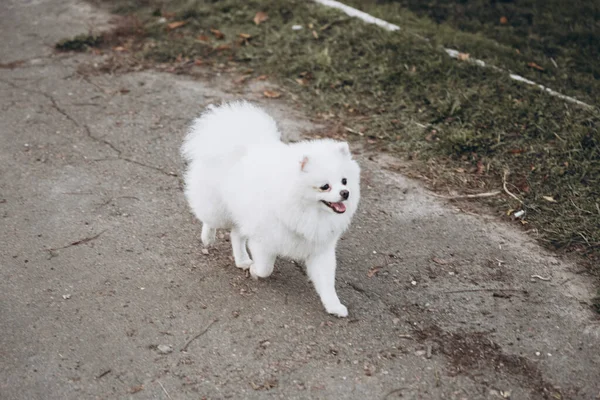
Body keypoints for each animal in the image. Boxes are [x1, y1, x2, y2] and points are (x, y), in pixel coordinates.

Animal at [182, 101, 360, 318]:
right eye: (325, 186)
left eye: (344, 181)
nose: (345, 193)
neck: (308, 211)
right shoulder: (264, 240)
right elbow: (266, 268)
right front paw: (255, 271)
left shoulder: (320, 249)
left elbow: (326, 282)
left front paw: (334, 306)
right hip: (219, 208)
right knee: (210, 220)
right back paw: (208, 238)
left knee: (236, 235)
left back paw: (242, 259)